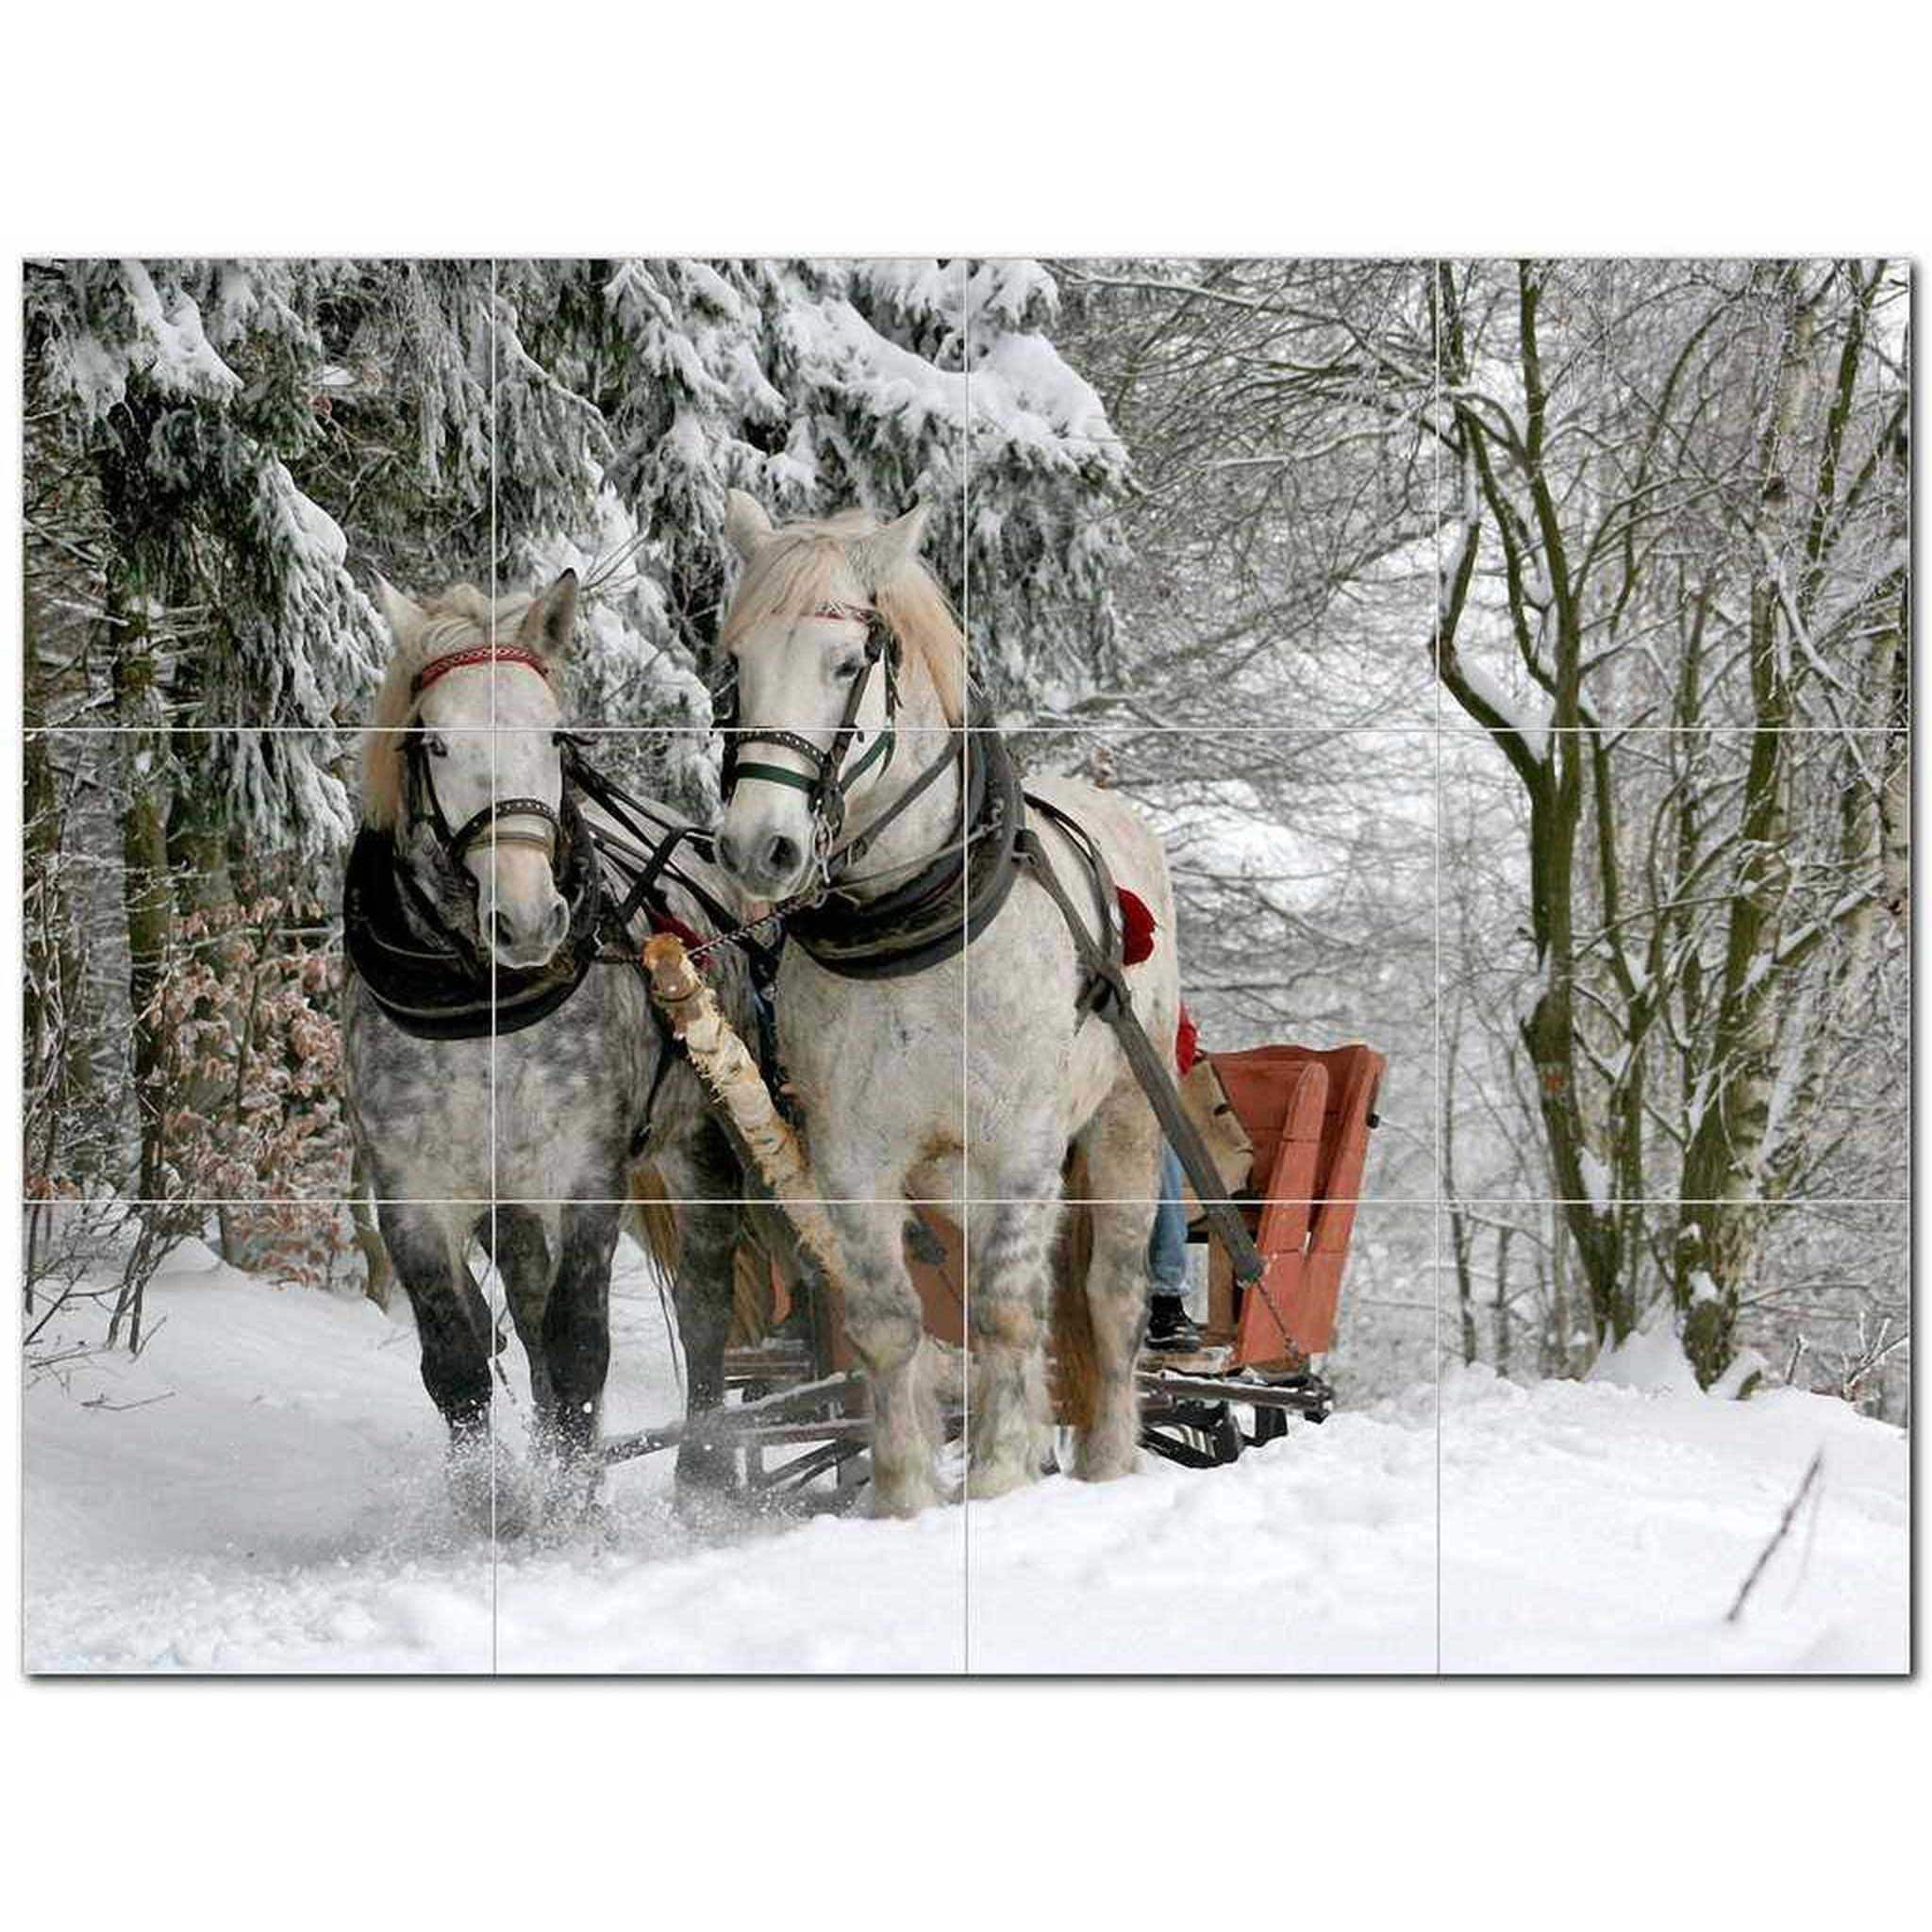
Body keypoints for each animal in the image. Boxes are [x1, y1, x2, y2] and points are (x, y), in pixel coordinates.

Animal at [342, 571, 750, 1528]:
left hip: (699, 1144)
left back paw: (704, 1473)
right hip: (509, 1198)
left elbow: (580, 1345)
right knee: (526, 1314)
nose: (526, 919)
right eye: (436, 743)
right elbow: (457, 1362)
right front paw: (494, 1510)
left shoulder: (585, 1175)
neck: (480, 1007)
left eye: (556, 735)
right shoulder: (414, 1194)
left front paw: (574, 1512)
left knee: (705, 1297)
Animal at [712, 493, 1179, 1515]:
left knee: (1108, 1294)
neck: (914, 926)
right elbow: (891, 1320)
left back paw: (1106, 1458)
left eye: (848, 663)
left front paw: (1000, 1476)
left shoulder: (1023, 1148)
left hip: (1125, 1120)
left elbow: (1008, 1309)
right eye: (734, 664)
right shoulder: (853, 1158)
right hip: (946, 1177)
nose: (759, 848)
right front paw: (905, 1496)